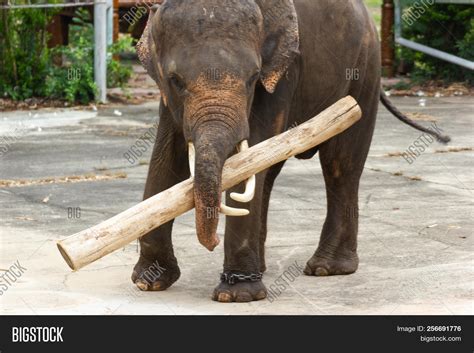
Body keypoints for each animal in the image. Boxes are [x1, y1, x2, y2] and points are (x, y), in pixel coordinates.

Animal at [132, 0, 448, 302]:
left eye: (253, 78)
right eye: (175, 80)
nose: (211, 244)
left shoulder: (283, 73)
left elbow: (252, 152)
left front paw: (235, 296)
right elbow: (167, 157)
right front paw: (150, 282)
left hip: (364, 71)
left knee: (340, 164)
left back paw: (327, 268)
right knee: (272, 173)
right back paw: (264, 268)